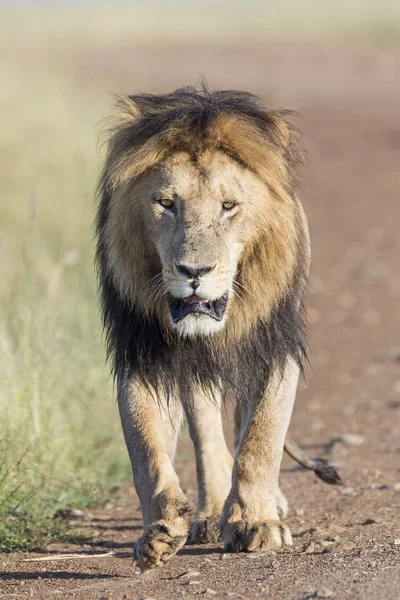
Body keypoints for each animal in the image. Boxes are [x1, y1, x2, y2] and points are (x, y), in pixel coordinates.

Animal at [95, 85, 340, 572]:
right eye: (166, 203)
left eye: (229, 207)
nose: (194, 271)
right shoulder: (144, 351)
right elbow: (146, 446)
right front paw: (160, 530)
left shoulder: (274, 345)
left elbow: (261, 437)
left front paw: (256, 524)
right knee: (206, 434)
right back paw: (208, 515)